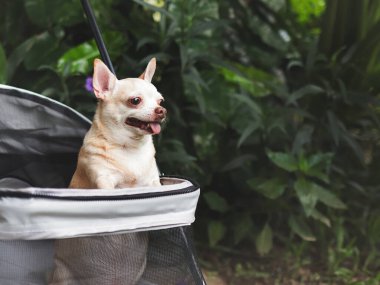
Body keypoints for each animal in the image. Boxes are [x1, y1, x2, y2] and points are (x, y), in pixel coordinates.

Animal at [49, 57, 166, 284]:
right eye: (135, 101)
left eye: (160, 101)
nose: (162, 111)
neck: (129, 148)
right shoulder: (103, 179)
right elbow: (109, 192)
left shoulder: (152, 182)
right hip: (62, 274)